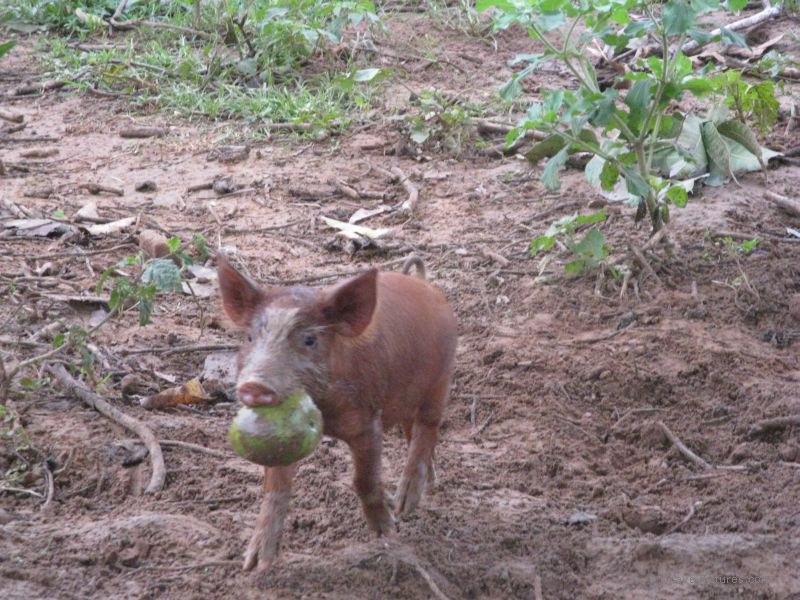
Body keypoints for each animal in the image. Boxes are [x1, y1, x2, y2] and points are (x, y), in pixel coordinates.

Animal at [217, 254, 457, 572]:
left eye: (309, 340)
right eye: (249, 337)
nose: (254, 385)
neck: (325, 414)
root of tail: (424, 284)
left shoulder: (369, 420)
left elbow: (364, 480)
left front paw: (387, 533)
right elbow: (275, 489)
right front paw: (255, 565)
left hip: (441, 379)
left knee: (427, 428)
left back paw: (405, 505)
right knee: (412, 431)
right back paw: (426, 485)